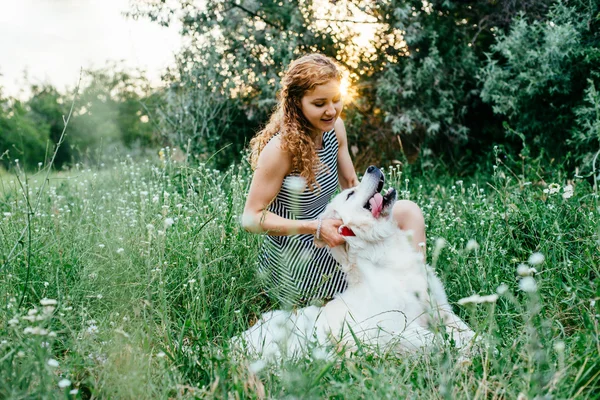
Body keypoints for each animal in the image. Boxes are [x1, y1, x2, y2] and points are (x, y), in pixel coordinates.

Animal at [237, 166, 476, 360]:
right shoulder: (389, 329)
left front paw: (479, 344)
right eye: (351, 193)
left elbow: (467, 331)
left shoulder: (440, 308)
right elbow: (434, 339)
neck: (383, 254)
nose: (372, 167)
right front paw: (462, 352)